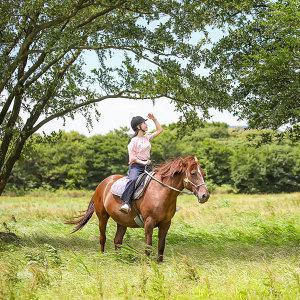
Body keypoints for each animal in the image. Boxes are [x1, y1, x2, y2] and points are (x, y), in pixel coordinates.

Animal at [67, 156, 210, 262]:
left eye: (203, 173)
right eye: (193, 173)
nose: (205, 195)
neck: (160, 191)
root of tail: (102, 184)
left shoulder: (165, 224)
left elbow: (161, 246)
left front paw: (159, 263)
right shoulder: (149, 222)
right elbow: (148, 246)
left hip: (121, 222)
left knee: (117, 241)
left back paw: (119, 260)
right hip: (102, 217)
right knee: (103, 238)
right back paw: (102, 256)